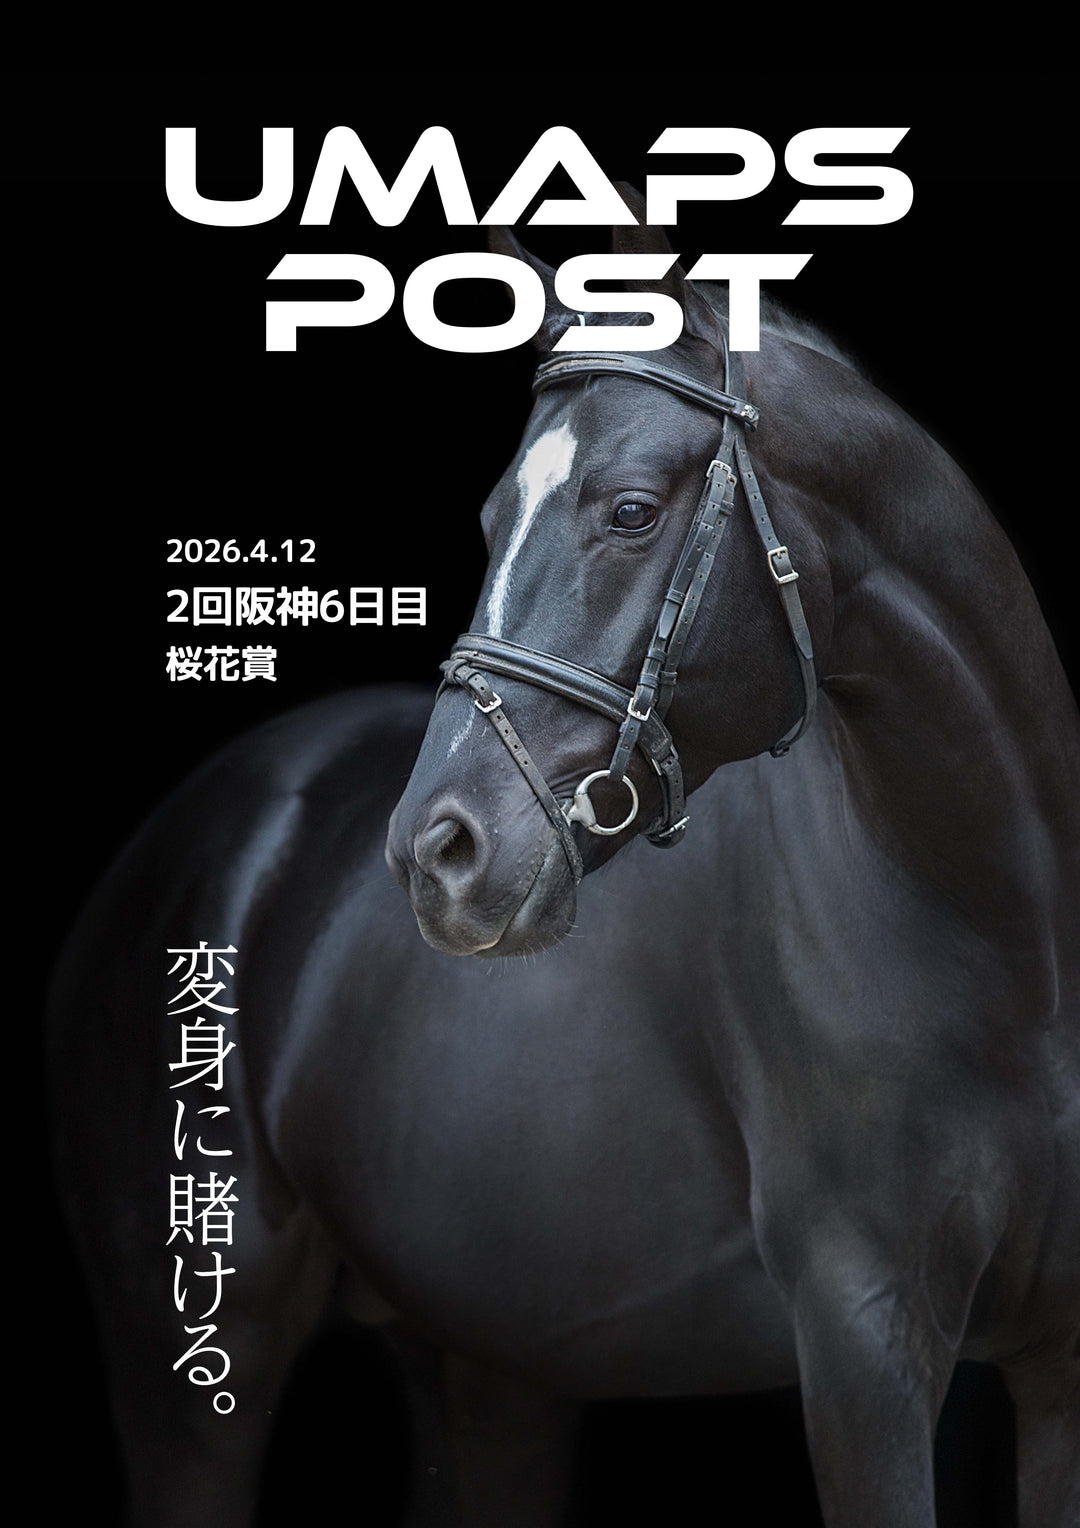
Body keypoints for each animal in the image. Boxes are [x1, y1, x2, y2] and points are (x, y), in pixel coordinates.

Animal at [50, 212, 1079, 1527]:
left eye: (631, 510)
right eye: (493, 519)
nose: (435, 852)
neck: (1008, 937)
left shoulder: (1051, 1363)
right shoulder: (866, 1344)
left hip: (488, 1367)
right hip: (191, 1360)